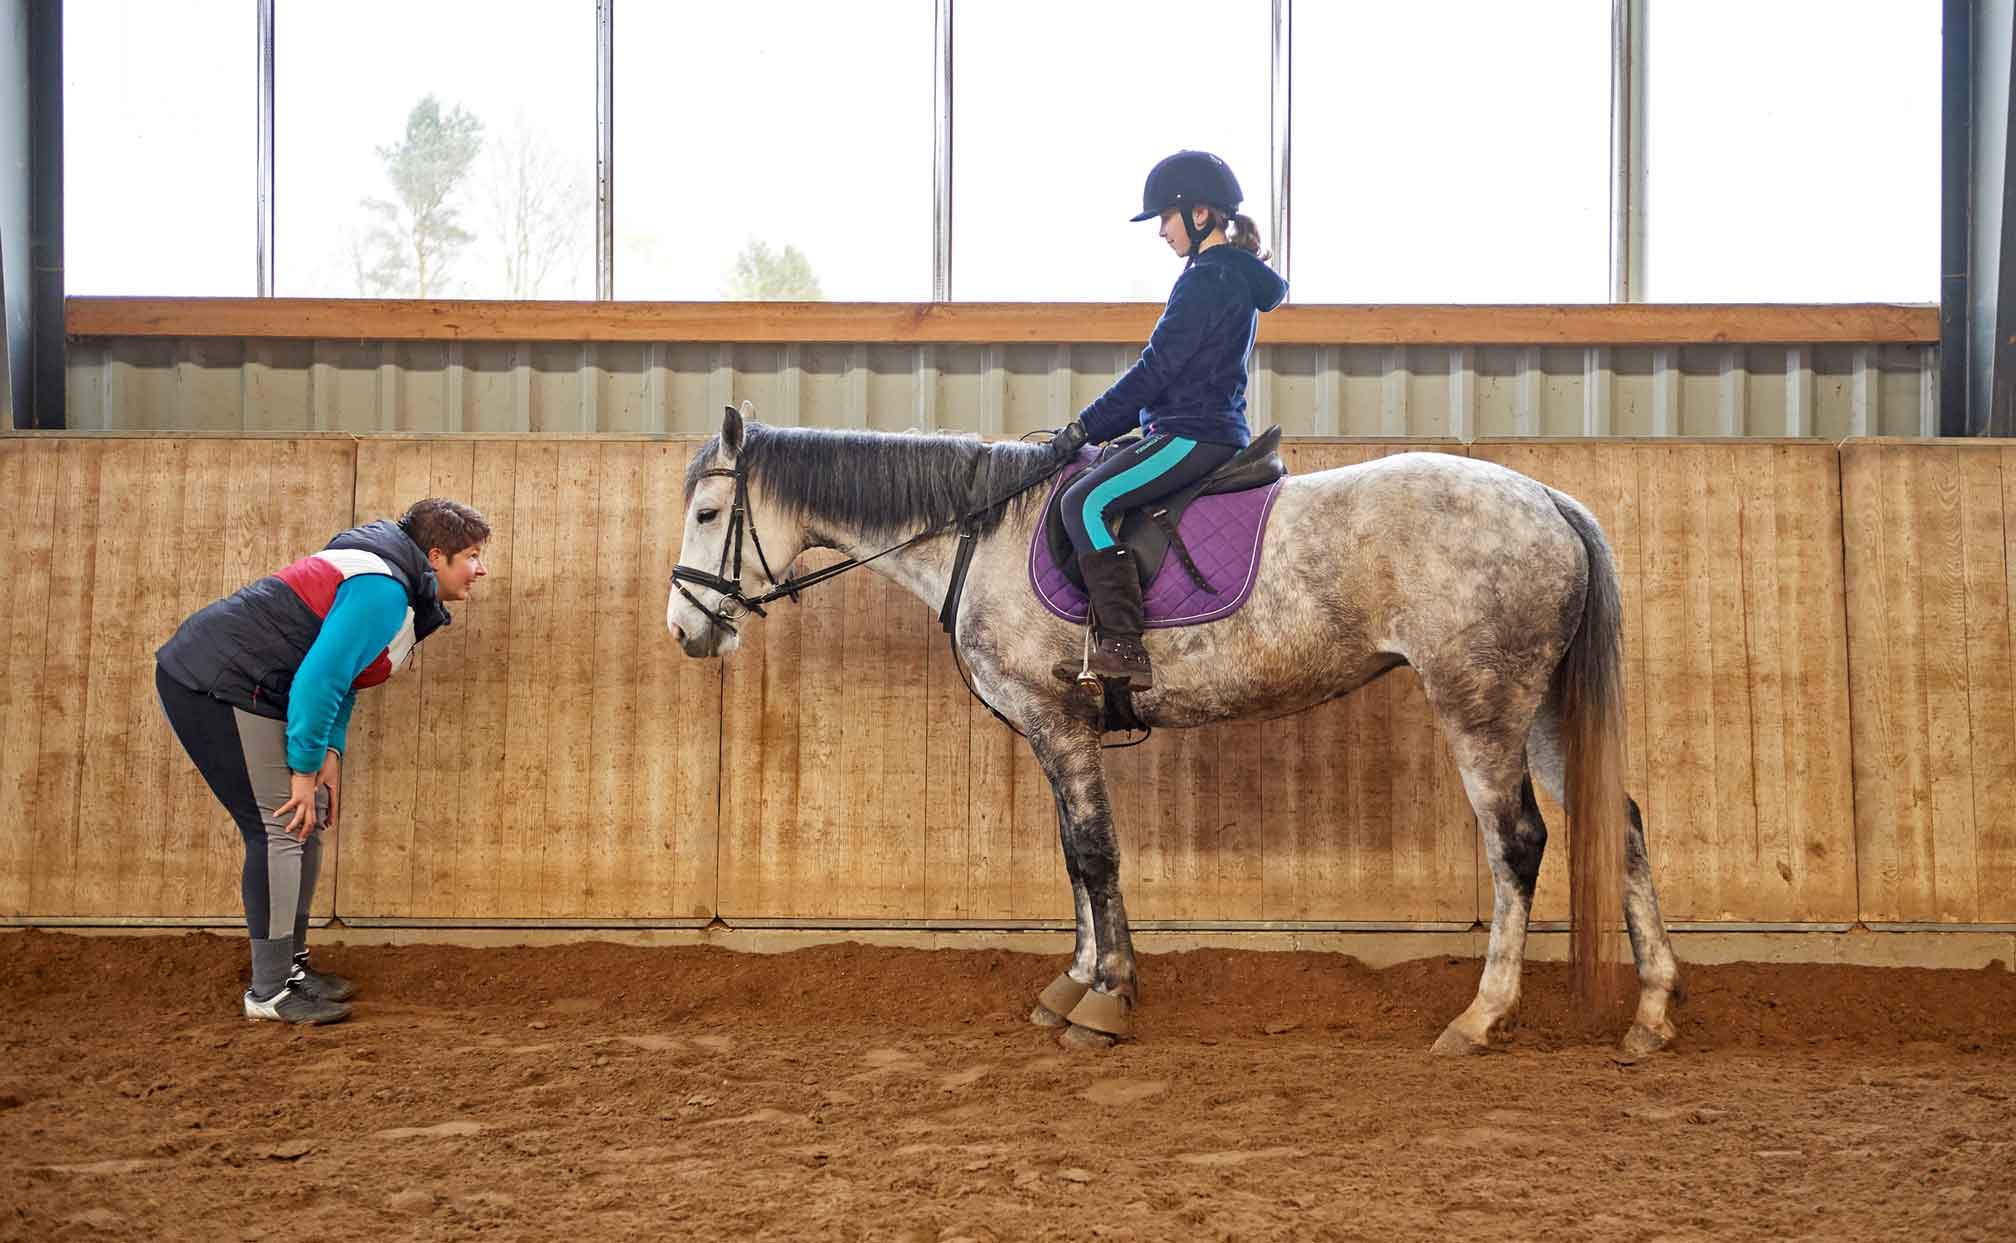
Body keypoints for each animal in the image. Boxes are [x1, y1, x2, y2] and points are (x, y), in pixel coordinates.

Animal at [666, 402, 1682, 1057]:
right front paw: (1075, 982)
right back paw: (1651, 1015)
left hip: (1481, 703)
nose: (685, 631)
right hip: (1540, 706)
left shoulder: (1058, 723)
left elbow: (1096, 853)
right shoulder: (1058, 731)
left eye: (710, 512)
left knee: (1518, 843)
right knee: (1623, 824)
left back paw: (1481, 1017)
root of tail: (1548, 498)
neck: (979, 534)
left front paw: (1108, 998)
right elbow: (1075, 858)